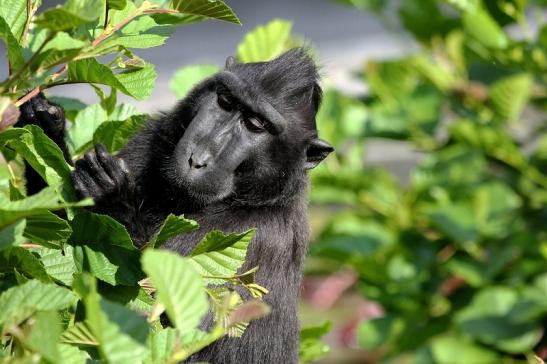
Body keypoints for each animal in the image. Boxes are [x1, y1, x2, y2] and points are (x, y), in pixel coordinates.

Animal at [18, 49, 334, 364]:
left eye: (256, 125)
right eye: (226, 102)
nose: (198, 159)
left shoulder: (255, 236)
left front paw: (114, 200)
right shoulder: (149, 142)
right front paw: (44, 122)